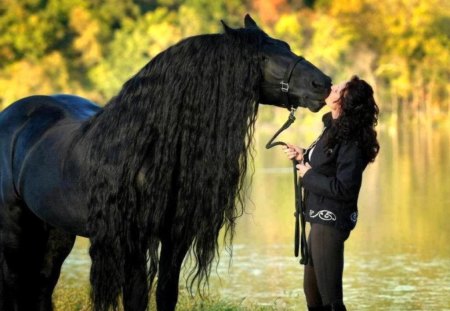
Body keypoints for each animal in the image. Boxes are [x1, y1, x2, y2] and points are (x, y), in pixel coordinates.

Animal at [0, 15, 330, 310]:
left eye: (286, 46)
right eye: (263, 56)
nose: (322, 83)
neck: (148, 149)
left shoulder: (176, 236)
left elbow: (166, 294)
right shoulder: (133, 240)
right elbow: (136, 297)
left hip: (56, 231)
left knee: (42, 286)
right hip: (15, 230)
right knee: (16, 284)